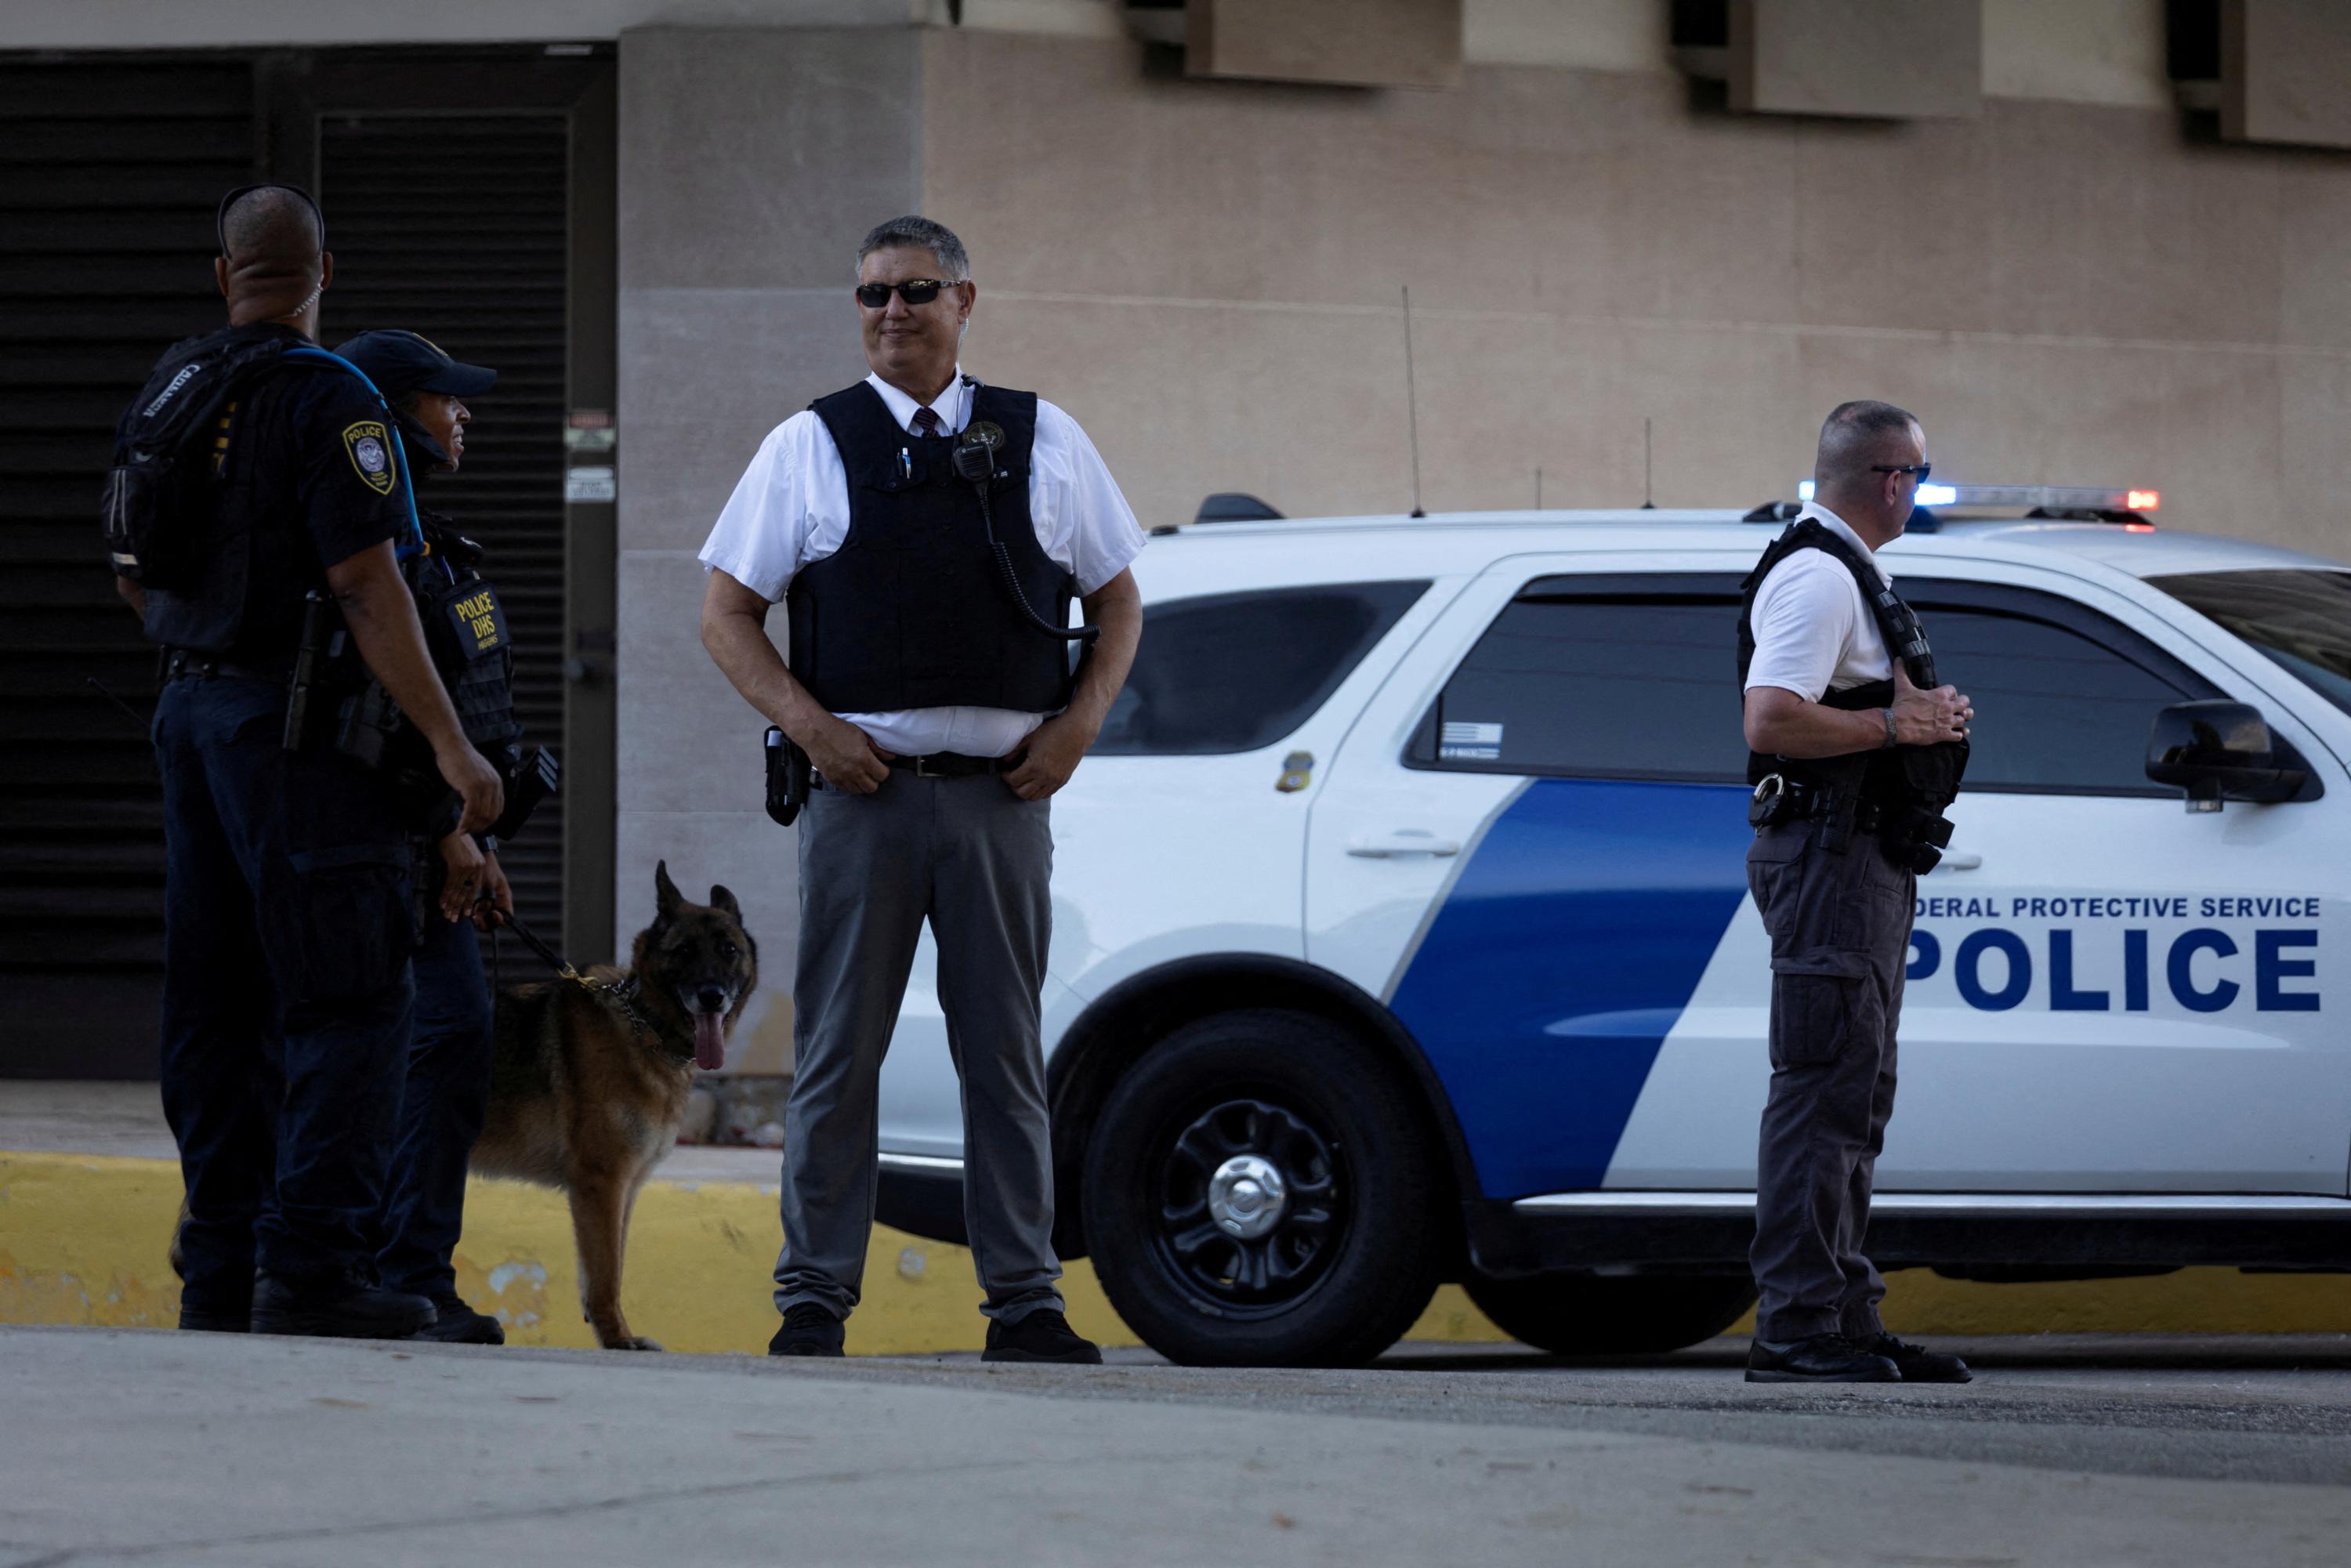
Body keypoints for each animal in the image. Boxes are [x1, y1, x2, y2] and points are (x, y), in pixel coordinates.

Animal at [475, 860, 762, 1354]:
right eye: (684, 950)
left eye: (729, 949)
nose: (712, 996)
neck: (643, 1023)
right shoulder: (602, 1182)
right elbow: (606, 1275)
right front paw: (616, 1339)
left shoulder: (624, 1188)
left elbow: (609, 1271)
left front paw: (616, 1333)